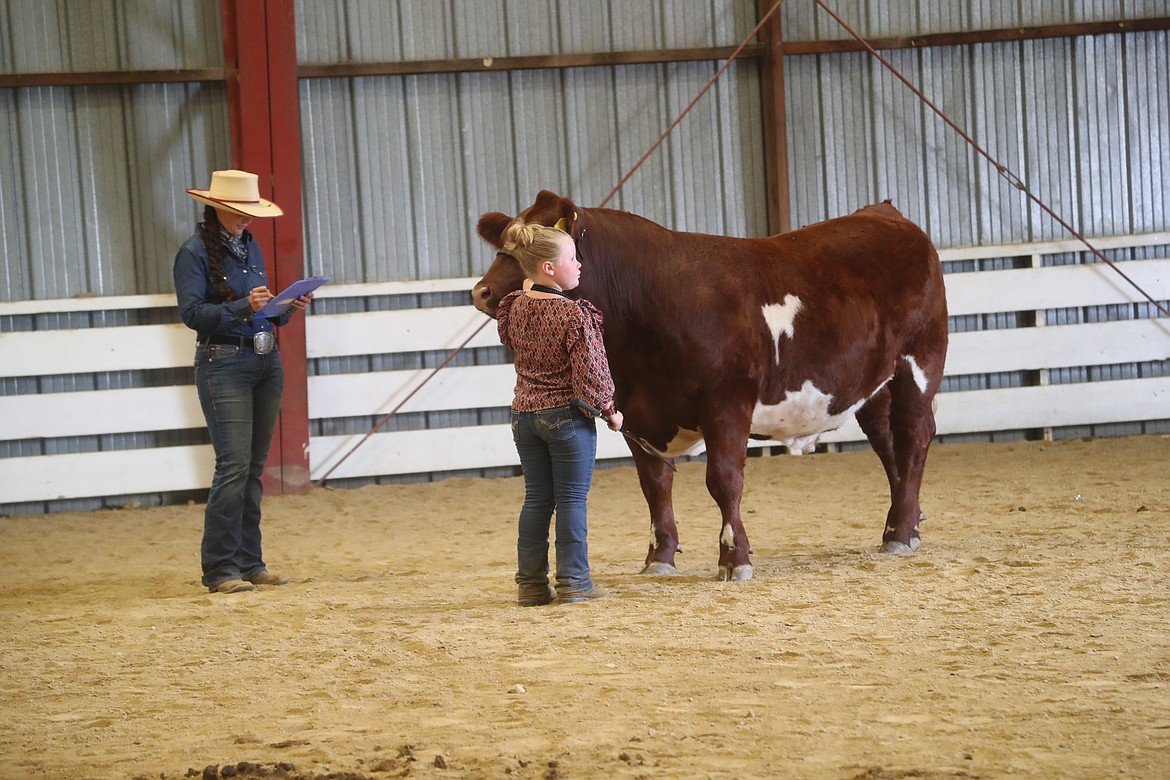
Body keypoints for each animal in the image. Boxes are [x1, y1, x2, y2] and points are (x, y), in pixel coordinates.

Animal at [475, 189, 950, 580]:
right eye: (503, 245)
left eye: (526, 246)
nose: (480, 292)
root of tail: (883, 213)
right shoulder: (635, 412)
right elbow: (654, 485)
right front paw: (659, 557)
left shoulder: (727, 402)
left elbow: (723, 480)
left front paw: (735, 558)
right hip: (875, 384)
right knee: (888, 443)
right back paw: (903, 523)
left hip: (919, 363)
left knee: (914, 436)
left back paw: (901, 532)